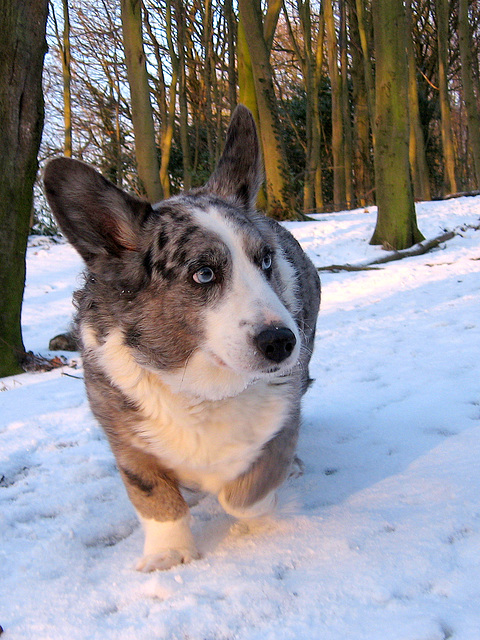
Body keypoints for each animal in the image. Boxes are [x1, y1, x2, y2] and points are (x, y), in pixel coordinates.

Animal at [45, 105, 320, 568]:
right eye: (204, 273)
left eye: (265, 260)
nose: (282, 342)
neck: (201, 388)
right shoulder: (127, 442)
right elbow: (156, 501)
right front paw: (168, 557)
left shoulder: (281, 418)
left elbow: (243, 493)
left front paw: (254, 516)